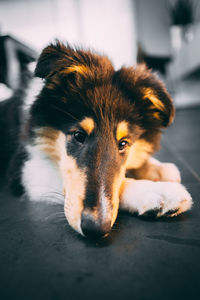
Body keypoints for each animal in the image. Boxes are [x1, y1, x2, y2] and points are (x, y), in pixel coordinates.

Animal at [1, 41, 192, 239]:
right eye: (79, 135)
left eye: (123, 143)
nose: (95, 229)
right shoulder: (21, 168)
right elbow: (119, 183)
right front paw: (159, 191)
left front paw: (158, 168)